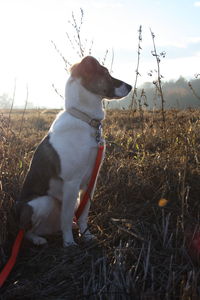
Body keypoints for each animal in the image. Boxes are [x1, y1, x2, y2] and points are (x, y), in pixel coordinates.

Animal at [17, 55, 133, 246]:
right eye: (105, 73)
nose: (130, 86)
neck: (85, 119)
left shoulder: (91, 182)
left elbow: (84, 213)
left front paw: (86, 234)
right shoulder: (71, 182)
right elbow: (66, 216)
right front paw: (69, 243)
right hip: (43, 202)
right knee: (27, 231)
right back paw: (38, 239)